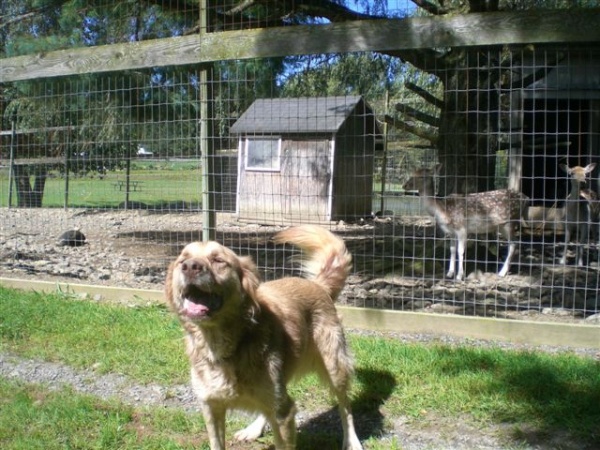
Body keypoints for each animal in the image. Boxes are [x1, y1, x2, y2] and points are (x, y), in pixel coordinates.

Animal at [165, 227, 360, 448]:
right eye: (182, 260)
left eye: (218, 260)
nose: (190, 267)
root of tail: (318, 285)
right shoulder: (211, 406)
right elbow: (217, 442)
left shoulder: (283, 414)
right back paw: (253, 429)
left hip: (335, 368)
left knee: (346, 408)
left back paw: (352, 442)